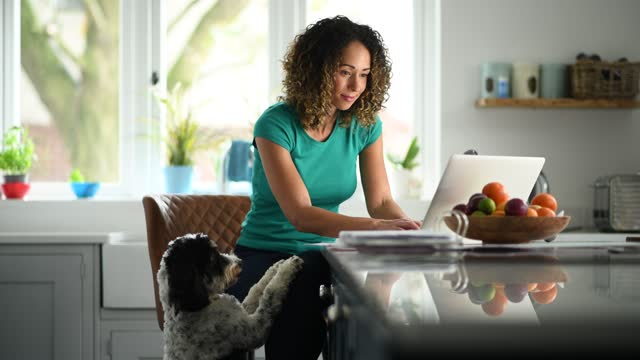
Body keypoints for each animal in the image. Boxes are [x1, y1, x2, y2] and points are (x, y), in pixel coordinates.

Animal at [156, 232, 304, 358]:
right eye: (212, 258)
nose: (240, 262)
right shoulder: (253, 331)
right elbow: (269, 293)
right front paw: (288, 266)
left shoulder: (241, 311)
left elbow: (255, 289)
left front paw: (276, 266)